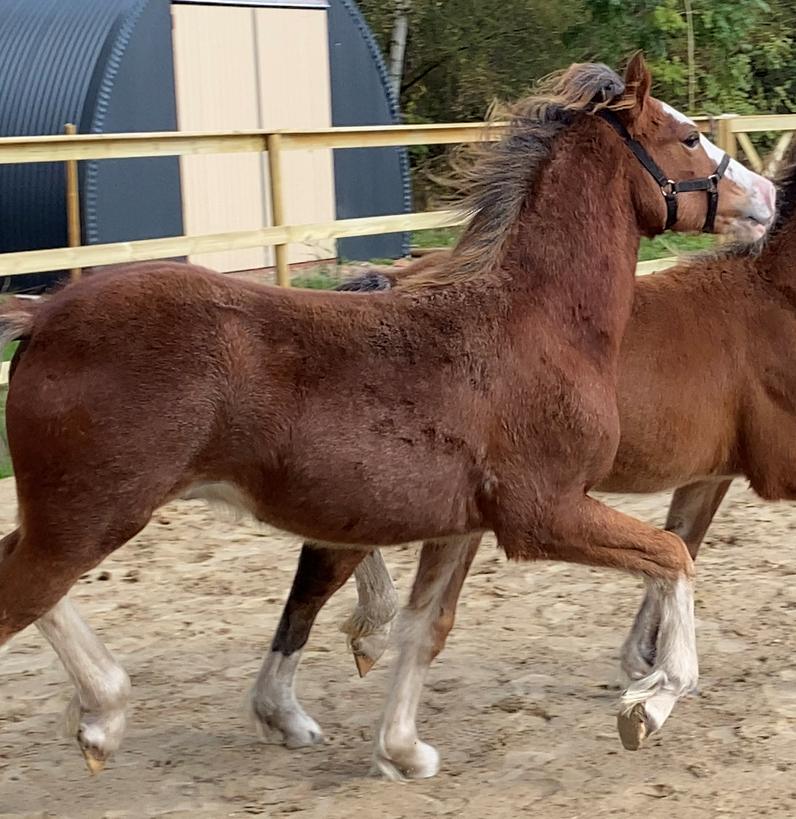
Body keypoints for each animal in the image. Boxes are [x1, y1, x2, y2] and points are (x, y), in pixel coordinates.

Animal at [0, 54, 772, 780]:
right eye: (689, 137)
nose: (766, 197)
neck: (536, 322)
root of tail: (42, 317)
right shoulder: (542, 514)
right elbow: (672, 556)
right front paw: (653, 697)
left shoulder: (465, 525)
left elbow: (424, 629)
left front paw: (401, 750)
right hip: (91, 516)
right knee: (23, 593)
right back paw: (106, 713)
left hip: (69, 516)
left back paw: (105, 712)